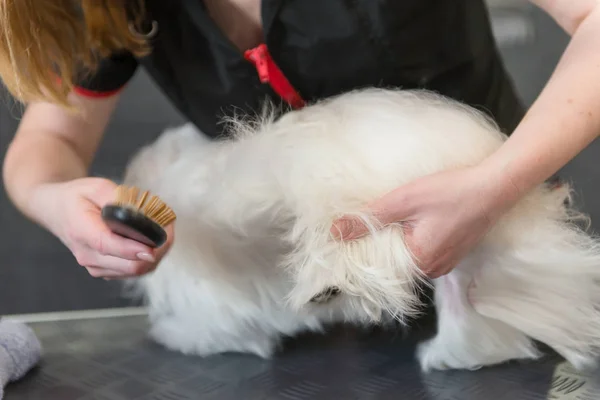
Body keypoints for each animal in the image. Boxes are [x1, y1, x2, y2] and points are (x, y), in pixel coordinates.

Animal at [120, 86, 600, 372]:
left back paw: (328, 282)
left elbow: (189, 332)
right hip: (462, 271)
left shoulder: (211, 315)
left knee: (361, 243)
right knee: (473, 332)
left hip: (346, 198)